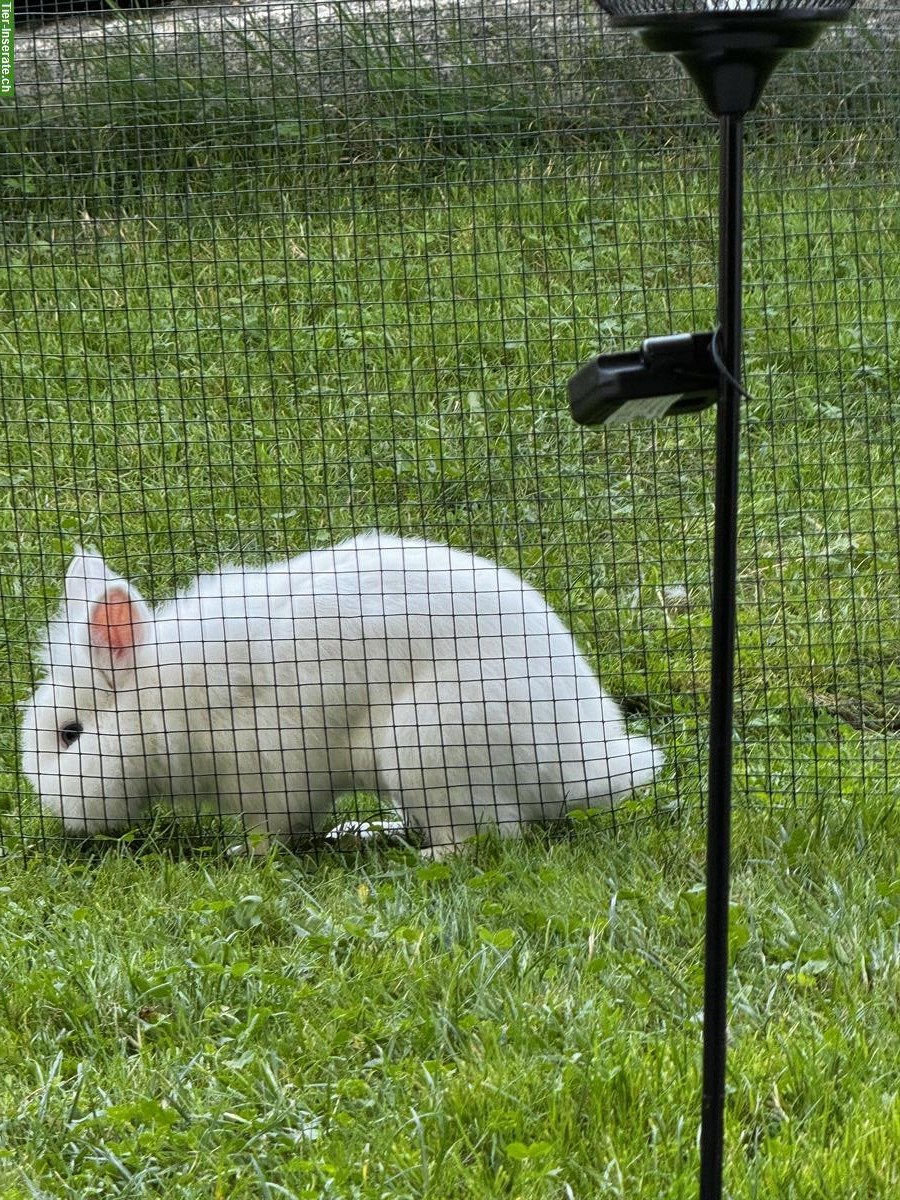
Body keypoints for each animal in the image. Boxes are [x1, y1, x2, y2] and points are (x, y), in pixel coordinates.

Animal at [19, 535, 662, 854]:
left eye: (71, 734)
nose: (53, 807)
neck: (162, 699)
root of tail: (582, 766)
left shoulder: (274, 768)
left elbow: (273, 828)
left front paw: (244, 856)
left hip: (425, 751)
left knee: (488, 838)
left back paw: (417, 858)